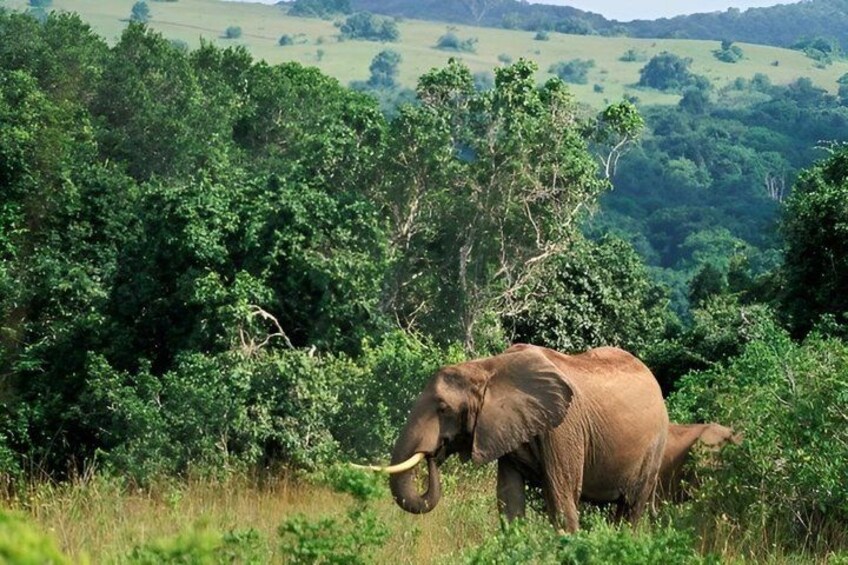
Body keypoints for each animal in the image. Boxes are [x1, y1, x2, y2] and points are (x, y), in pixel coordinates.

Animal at [360, 343, 668, 532]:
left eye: (444, 408)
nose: (434, 454)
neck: (487, 367)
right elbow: (510, 501)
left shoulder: (563, 427)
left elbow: (561, 498)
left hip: (655, 447)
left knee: (630, 509)